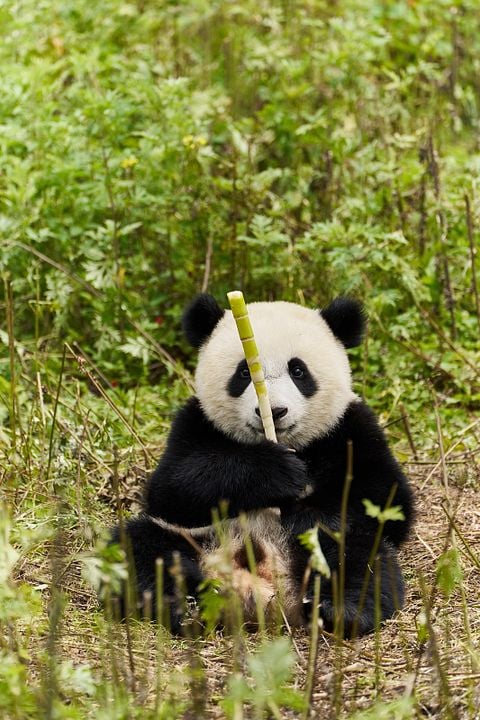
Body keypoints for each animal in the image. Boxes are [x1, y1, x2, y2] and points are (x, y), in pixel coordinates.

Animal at [111, 294, 413, 637]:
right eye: (243, 372)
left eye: (298, 371)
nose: (275, 411)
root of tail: (267, 591)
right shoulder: (195, 423)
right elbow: (172, 489)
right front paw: (278, 472)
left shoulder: (350, 427)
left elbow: (385, 498)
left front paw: (304, 510)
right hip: (194, 539)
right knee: (140, 548)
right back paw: (187, 607)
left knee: (360, 558)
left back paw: (340, 610)